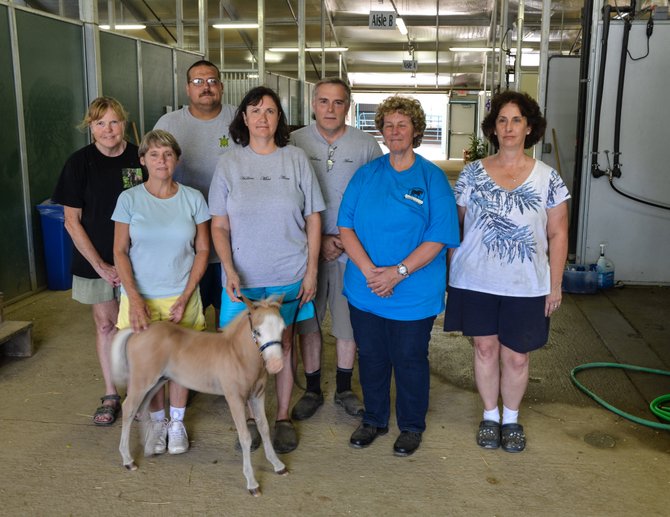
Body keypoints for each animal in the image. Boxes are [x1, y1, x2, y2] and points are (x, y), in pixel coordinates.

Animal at [111, 296, 288, 494]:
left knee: (141, 409)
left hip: (157, 382)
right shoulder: (234, 399)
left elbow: (264, 428)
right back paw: (128, 460)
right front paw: (252, 483)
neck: (238, 355)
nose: (276, 365)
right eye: (257, 331)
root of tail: (137, 331)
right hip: (142, 381)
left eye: (283, 328)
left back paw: (148, 448)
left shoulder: (257, 396)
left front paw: (278, 465)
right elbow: (245, 437)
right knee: (129, 408)